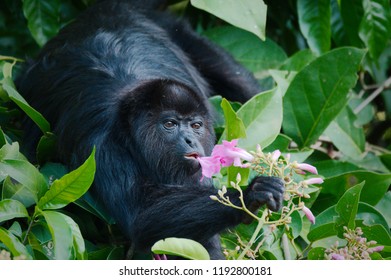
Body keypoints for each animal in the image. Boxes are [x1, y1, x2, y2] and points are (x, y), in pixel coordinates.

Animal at [16, 0, 284, 260]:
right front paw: (248, 196)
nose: (190, 140)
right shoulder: (102, 143)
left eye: (196, 125)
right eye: (170, 124)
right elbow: (141, 215)